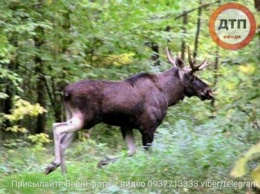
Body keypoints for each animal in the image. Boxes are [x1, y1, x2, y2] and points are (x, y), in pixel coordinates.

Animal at [45, 47, 213, 174]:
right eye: (193, 76)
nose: (208, 90)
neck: (167, 95)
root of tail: (66, 92)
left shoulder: (126, 126)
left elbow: (131, 151)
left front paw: (102, 162)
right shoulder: (148, 127)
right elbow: (147, 153)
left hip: (76, 116)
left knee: (64, 142)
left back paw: (61, 171)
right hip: (87, 118)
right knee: (57, 127)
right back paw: (54, 163)